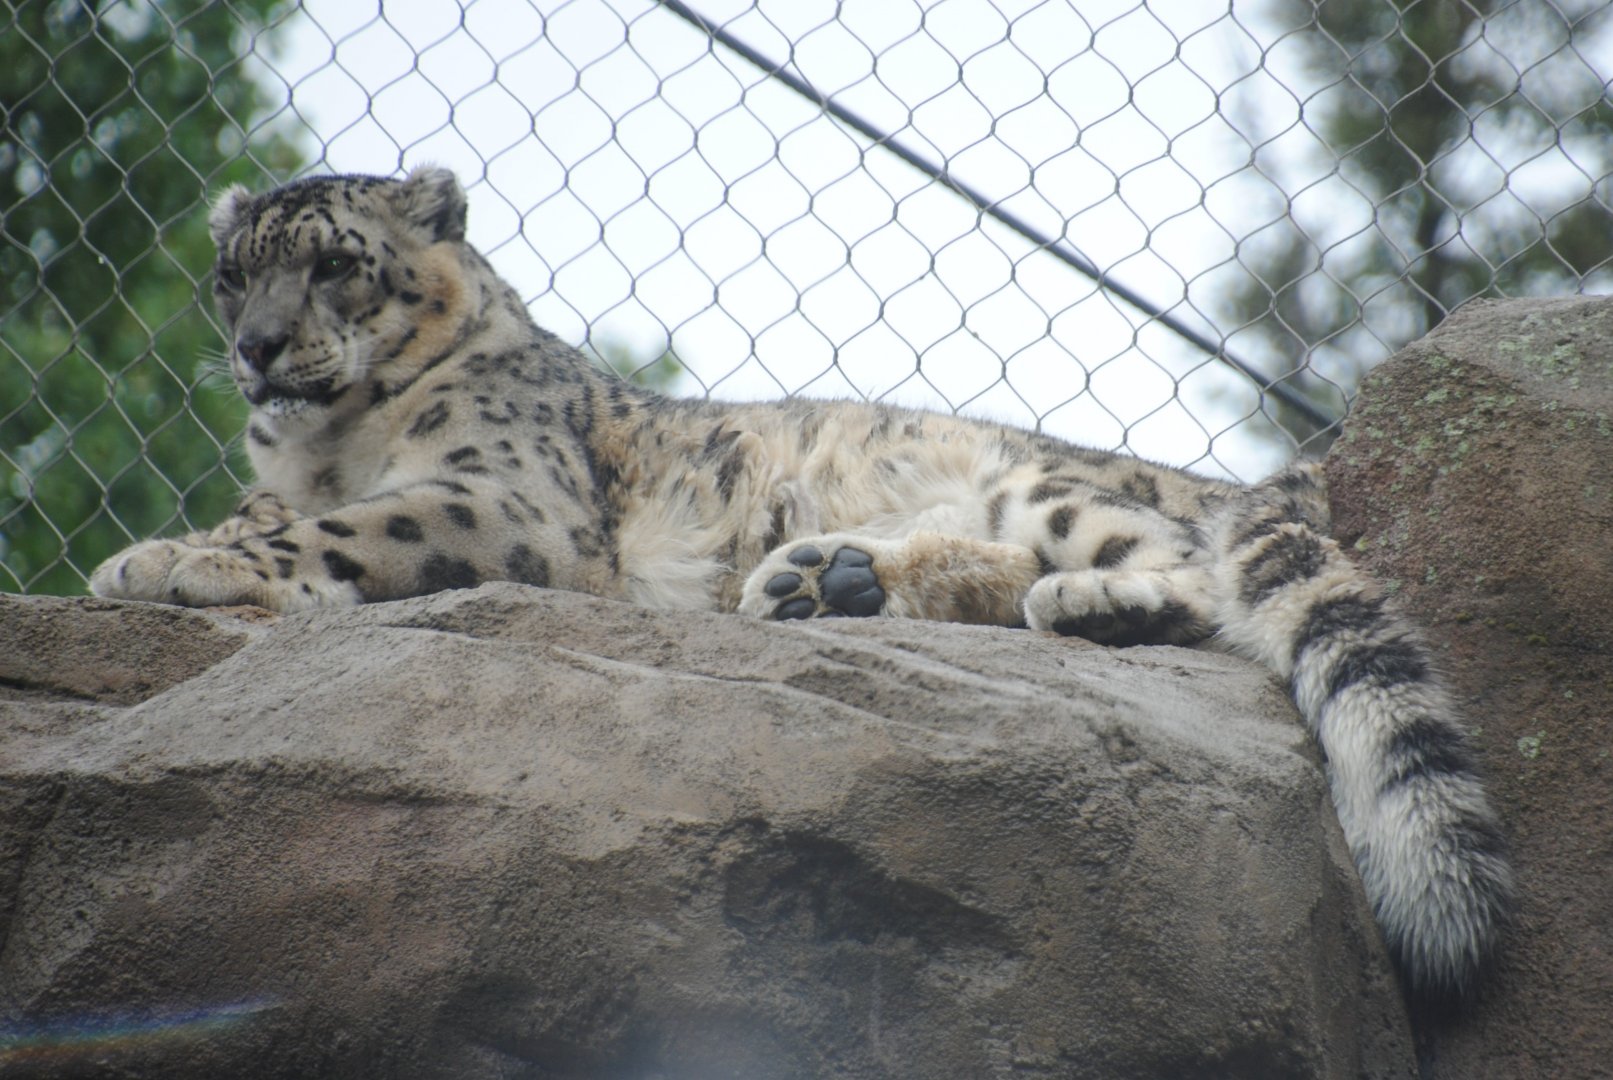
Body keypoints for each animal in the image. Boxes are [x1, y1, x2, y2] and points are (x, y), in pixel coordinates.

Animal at [90, 166, 1511, 1001]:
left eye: (334, 262)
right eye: (233, 273)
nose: (256, 345)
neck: (322, 446)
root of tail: (1221, 472)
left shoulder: (505, 498)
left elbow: (344, 533)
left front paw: (164, 561)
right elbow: (277, 516)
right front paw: (175, 542)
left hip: (1058, 492)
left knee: (1189, 578)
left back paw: (1048, 601)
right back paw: (822, 584)